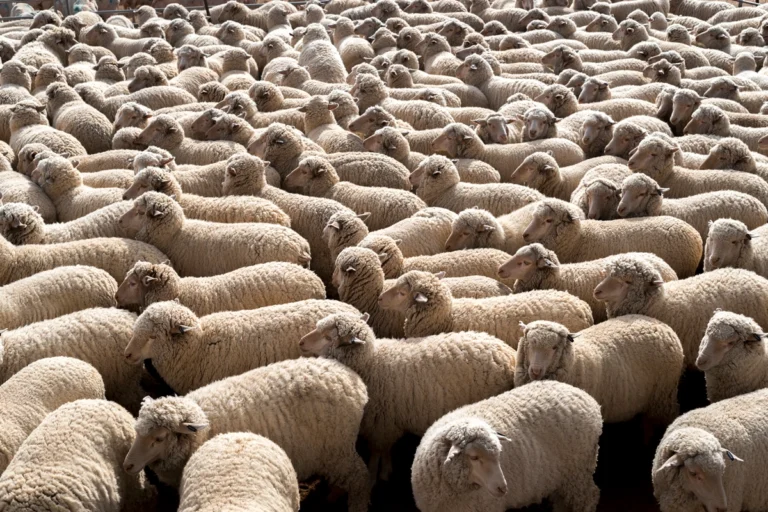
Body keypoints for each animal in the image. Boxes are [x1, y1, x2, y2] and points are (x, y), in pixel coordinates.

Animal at [124, 358, 370, 512]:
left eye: (159, 438)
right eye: (137, 432)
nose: (127, 465)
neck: (203, 426)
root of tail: (355, 381)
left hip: (337, 447)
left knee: (360, 477)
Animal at [301, 311, 516, 481]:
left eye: (328, 337)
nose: (301, 342)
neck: (371, 362)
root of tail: (508, 354)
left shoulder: (382, 422)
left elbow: (378, 451)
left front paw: (378, 474)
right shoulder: (386, 422)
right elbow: (384, 450)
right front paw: (385, 470)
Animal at [411, 381, 602, 512]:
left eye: (498, 456)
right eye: (473, 457)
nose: (503, 488)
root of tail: (587, 397)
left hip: (578, 471)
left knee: (589, 497)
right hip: (563, 477)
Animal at [516, 318, 683, 425]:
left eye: (554, 347)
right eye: (529, 343)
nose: (535, 371)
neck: (575, 361)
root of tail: (663, 325)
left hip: (662, 398)